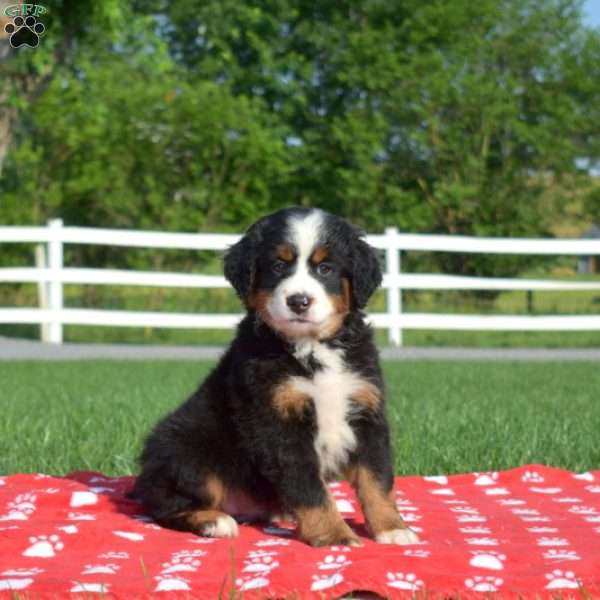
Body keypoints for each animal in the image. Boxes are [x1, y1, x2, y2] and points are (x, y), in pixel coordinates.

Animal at [134, 207, 420, 548]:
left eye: (325, 268)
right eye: (278, 266)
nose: (299, 301)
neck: (313, 348)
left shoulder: (366, 411)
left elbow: (377, 479)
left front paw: (392, 528)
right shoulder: (278, 422)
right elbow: (310, 488)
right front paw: (334, 536)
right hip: (189, 449)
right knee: (166, 505)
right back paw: (214, 521)